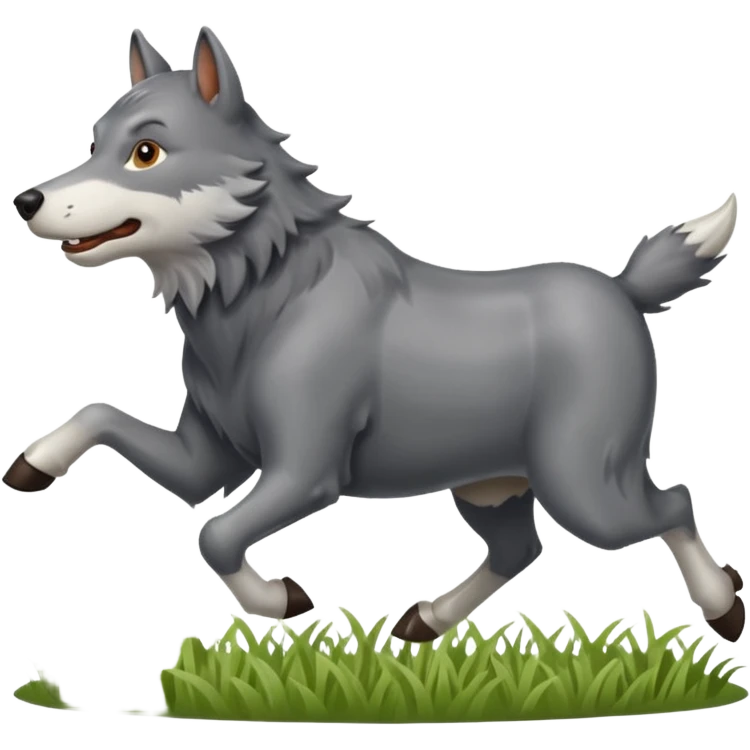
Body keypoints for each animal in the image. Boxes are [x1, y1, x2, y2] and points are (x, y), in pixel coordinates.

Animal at [6, 26, 744, 644]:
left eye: (146, 152)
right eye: (96, 141)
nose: (26, 200)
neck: (264, 295)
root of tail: (623, 290)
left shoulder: (307, 471)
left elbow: (215, 536)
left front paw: (281, 601)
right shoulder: (203, 461)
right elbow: (100, 414)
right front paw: (32, 465)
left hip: (585, 485)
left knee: (673, 503)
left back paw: (722, 607)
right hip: (493, 484)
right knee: (520, 549)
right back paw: (425, 620)